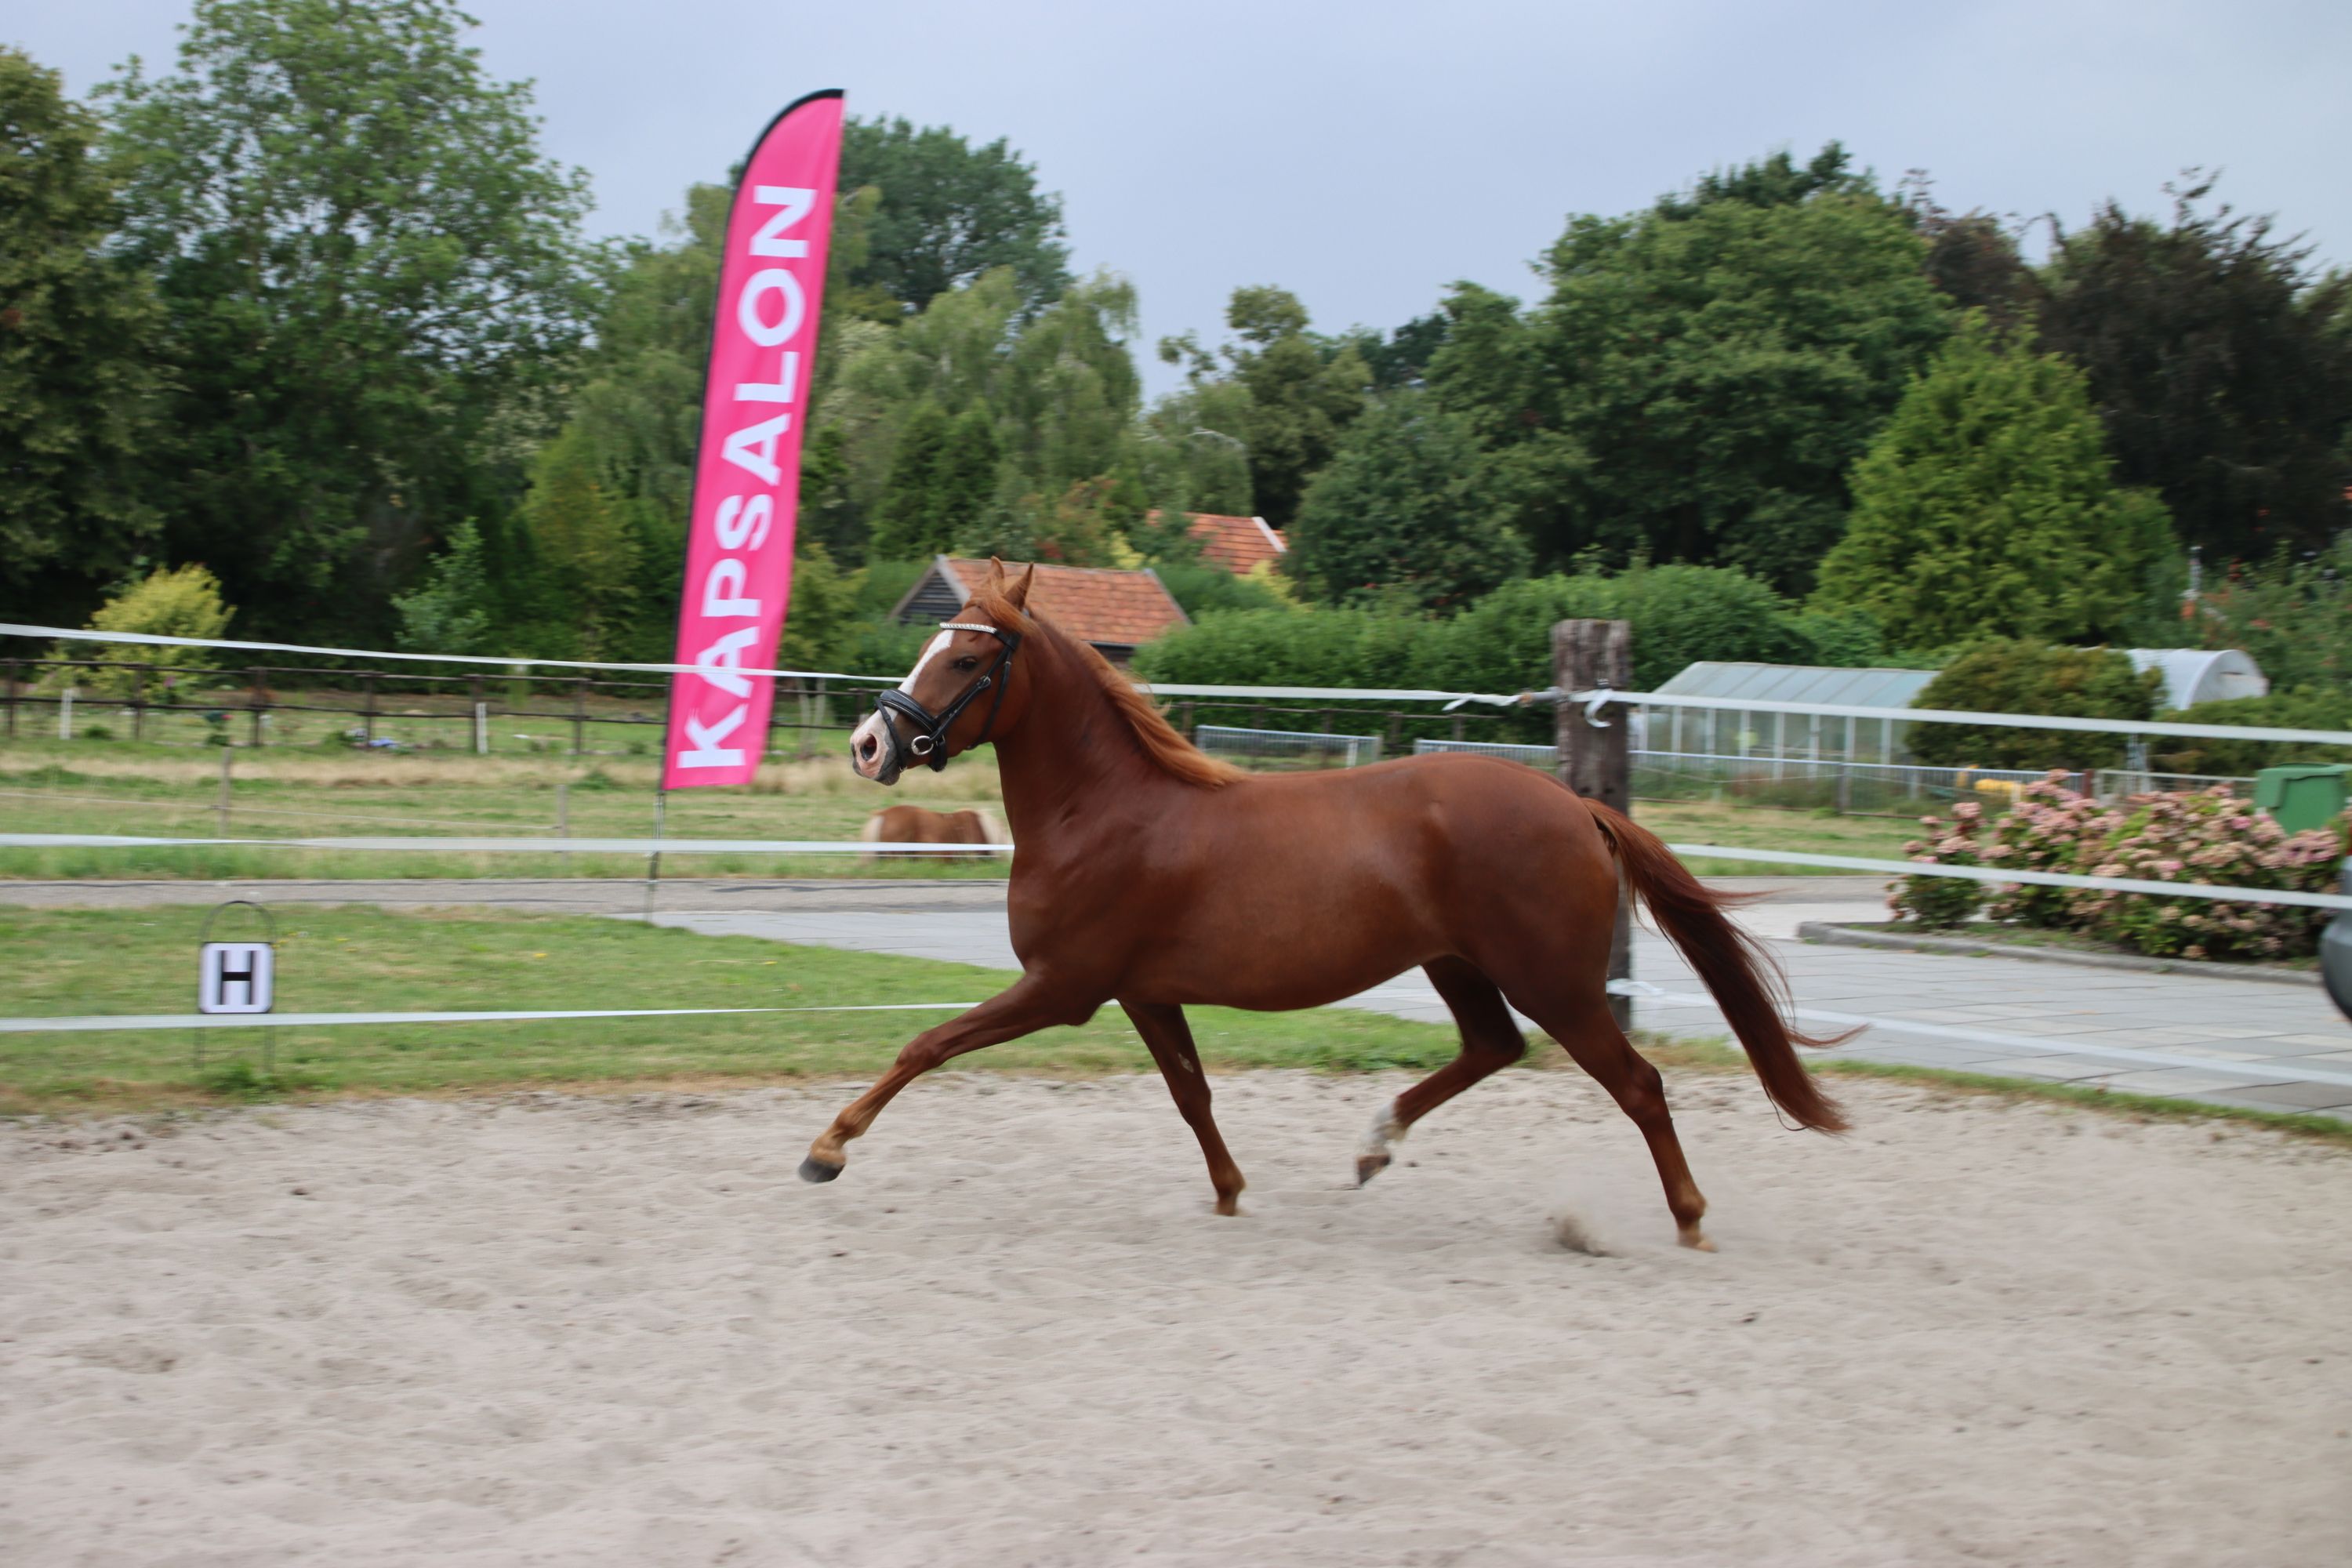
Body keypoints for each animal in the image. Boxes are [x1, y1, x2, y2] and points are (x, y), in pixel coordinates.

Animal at [811, 559, 1846, 1249]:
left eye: (966, 659)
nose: (869, 744)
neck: (1101, 810)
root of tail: (1574, 804)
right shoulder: (1143, 991)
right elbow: (1191, 1092)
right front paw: (1231, 1191)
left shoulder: (1062, 987)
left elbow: (926, 1044)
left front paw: (827, 1148)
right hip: (1458, 964)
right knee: (1493, 1048)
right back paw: (1373, 1145)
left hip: (1554, 980)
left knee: (1636, 1084)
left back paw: (1690, 1218)